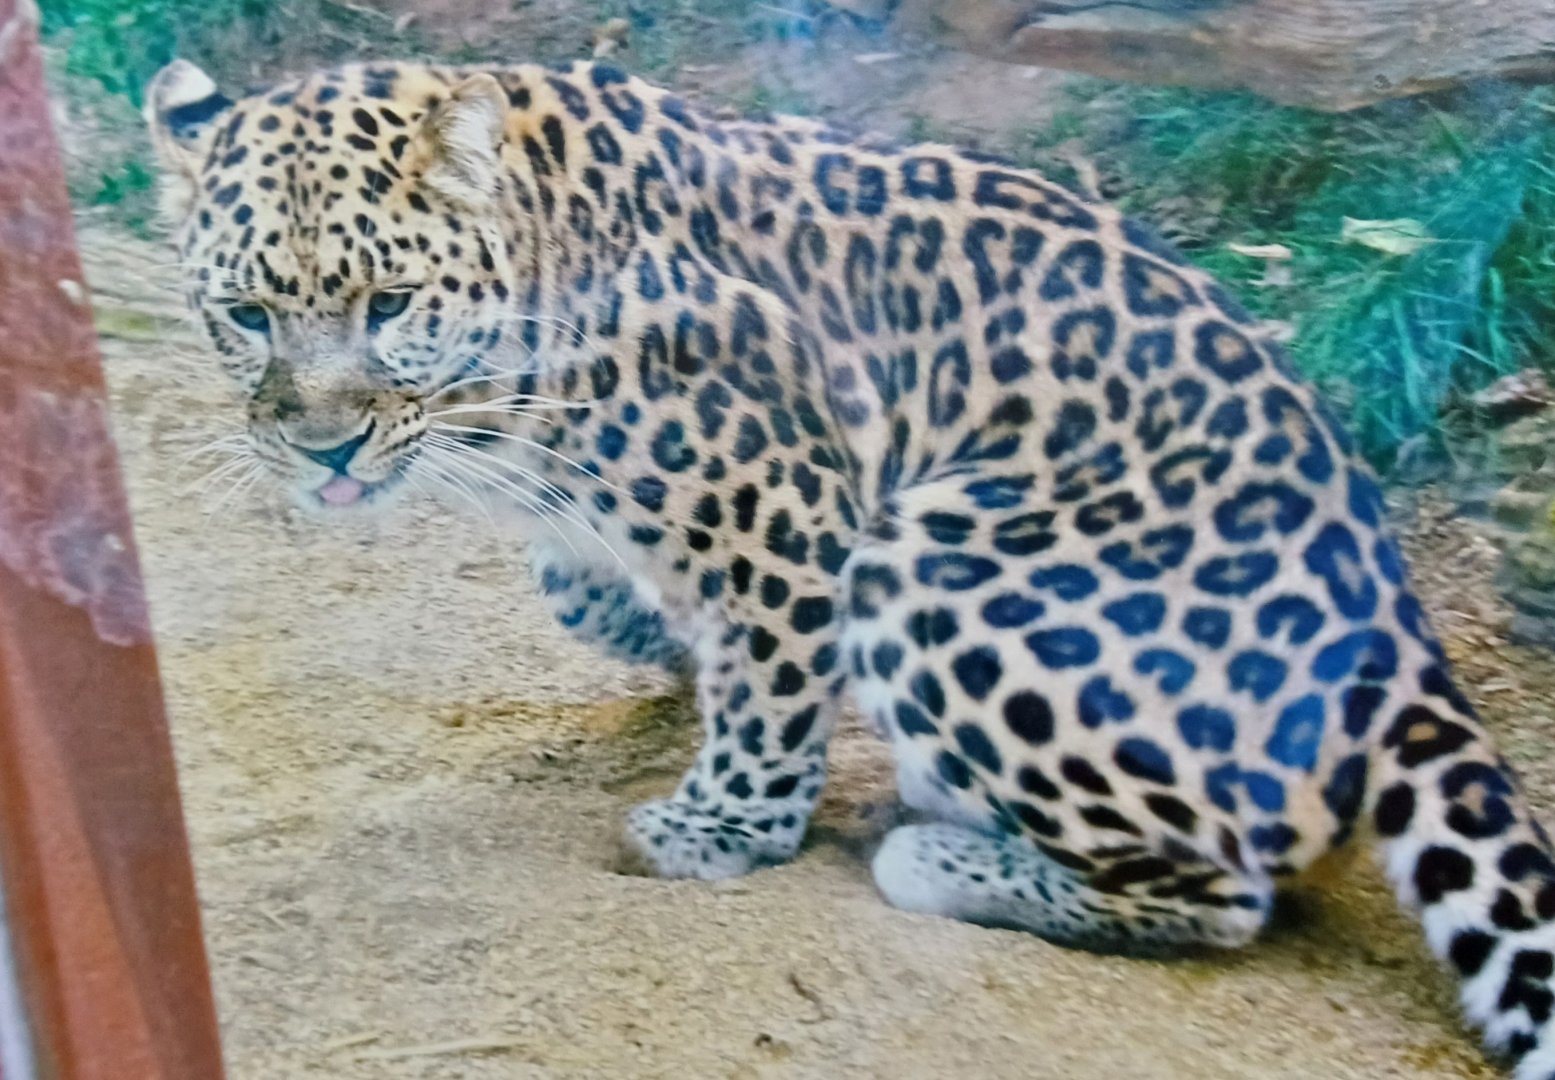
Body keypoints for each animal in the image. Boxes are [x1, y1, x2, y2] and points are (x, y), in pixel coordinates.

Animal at [144, 56, 1555, 1075]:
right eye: (248, 313)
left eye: (387, 306)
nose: (322, 449)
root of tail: (1402, 638)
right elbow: (582, 586)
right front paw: (650, 633)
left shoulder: (787, 494)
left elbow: (769, 673)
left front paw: (722, 826)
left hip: (939, 558)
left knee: (1225, 894)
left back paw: (943, 856)